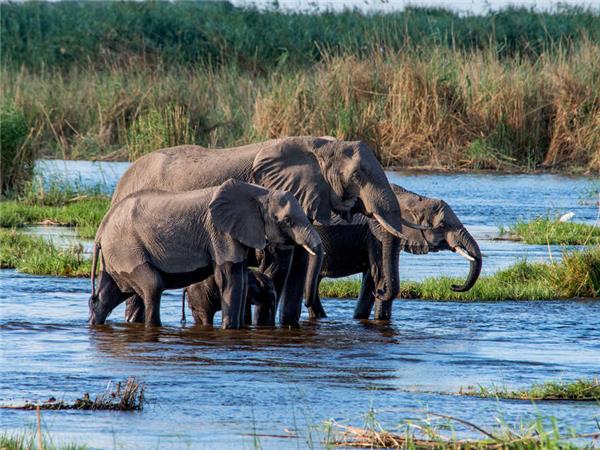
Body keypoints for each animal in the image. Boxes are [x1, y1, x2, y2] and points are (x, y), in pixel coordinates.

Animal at [88, 179, 324, 330]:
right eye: (287, 221)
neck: (260, 192)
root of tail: (101, 230)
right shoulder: (220, 232)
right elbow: (230, 278)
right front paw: (230, 330)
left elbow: (240, 277)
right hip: (127, 249)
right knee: (152, 286)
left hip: (118, 255)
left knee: (111, 293)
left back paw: (94, 321)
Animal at [112, 135, 428, 326]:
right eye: (358, 176)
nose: (380, 288)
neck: (320, 145)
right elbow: (278, 265)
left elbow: (299, 265)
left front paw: (287, 325)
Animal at [304, 185, 482, 322]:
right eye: (443, 225)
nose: (453, 285)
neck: (411, 197)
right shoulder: (376, 232)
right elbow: (379, 273)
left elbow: (371, 277)